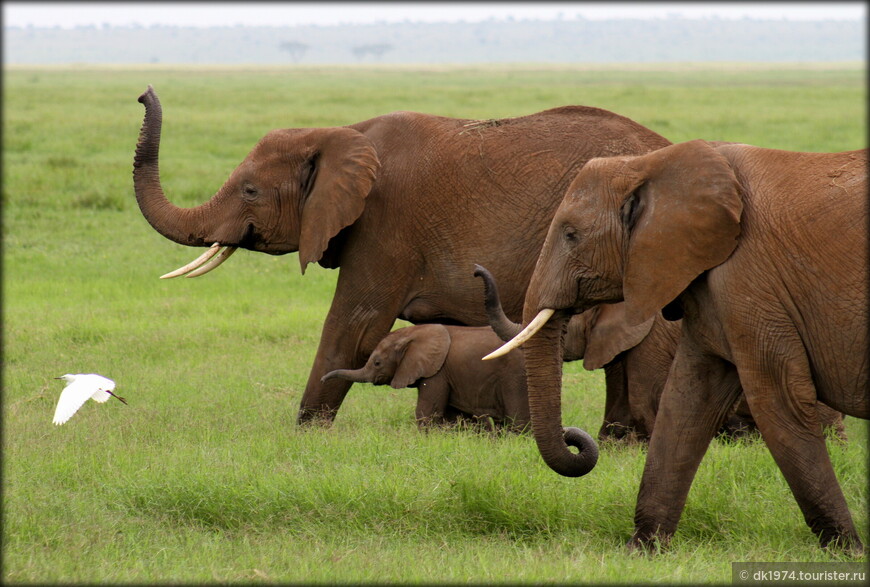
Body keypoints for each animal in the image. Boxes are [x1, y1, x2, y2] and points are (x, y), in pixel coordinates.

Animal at [318, 324, 528, 430]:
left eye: (377, 363)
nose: (322, 379)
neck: (411, 333)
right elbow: (457, 417)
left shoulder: (438, 372)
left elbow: (427, 413)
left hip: (514, 377)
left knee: (518, 420)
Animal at [488, 140, 868, 552]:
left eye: (571, 234)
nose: (574, 438)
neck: (649, 165)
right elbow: (687, 399)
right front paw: (642, 549)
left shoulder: (749, 282)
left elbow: (779, 402)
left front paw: (846, 549)